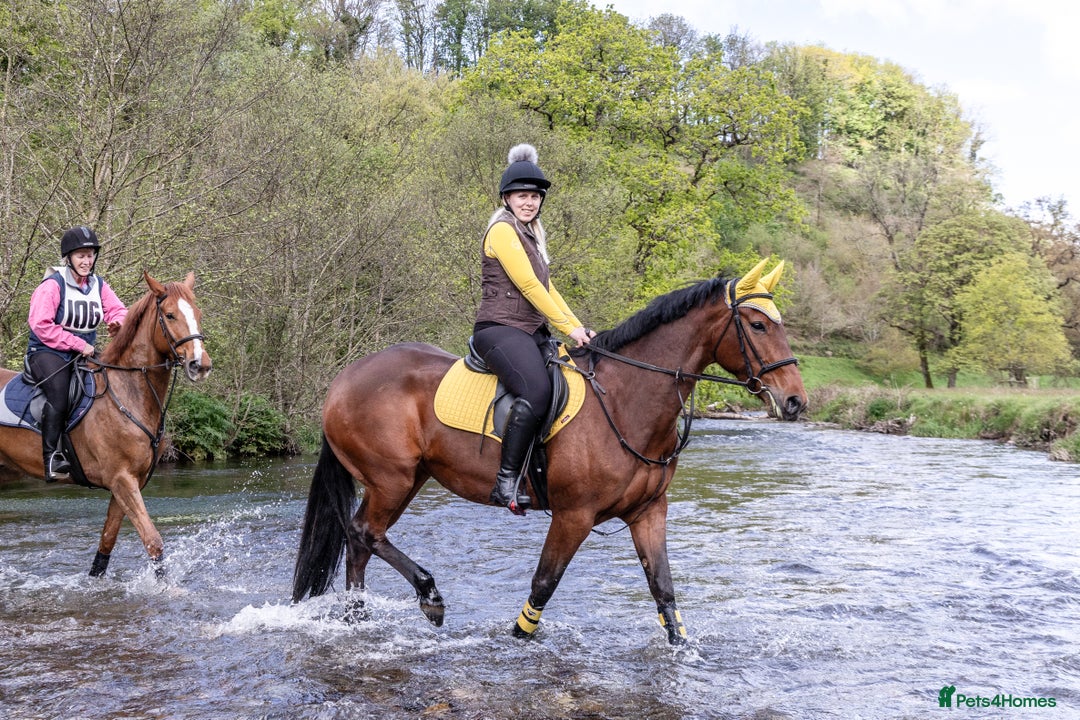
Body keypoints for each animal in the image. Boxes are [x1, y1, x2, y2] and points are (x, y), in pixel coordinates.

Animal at [0, 272, 211, 576]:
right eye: (170, 315)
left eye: (198, 313)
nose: (200, 365)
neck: (127, 391)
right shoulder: (122, 480)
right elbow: (153, 542)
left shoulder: (128, 483)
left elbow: (105, 547)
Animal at [292, 259, 806, 644]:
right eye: (757, 325)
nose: (796, 401)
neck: (626, 399)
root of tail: (343, 379)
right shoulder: (573, 516)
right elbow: (544, 584)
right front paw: (516, 638)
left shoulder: (648, 512)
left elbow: (663, 591)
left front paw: (683, 650)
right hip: (392, 479)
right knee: (365, 533)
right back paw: (428, 596)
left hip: (408, 479)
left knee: (361, 540)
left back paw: (358, 619)